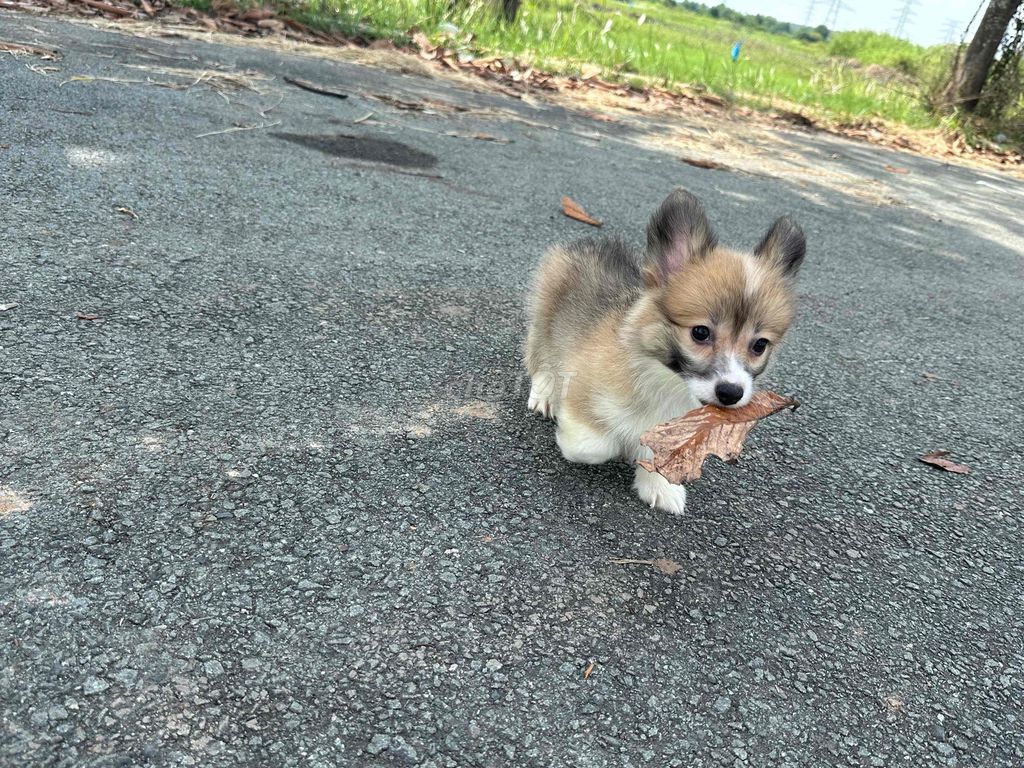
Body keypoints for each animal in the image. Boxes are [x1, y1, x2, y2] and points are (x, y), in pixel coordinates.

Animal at [528, 189, 806, 518]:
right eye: (700, 332)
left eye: (759, 345)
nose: (731, 393)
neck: (665, 380)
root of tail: (589, 243)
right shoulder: (583, 390)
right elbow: (594, 446)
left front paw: (659, 487)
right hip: (544, 318)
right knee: (540, 358)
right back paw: (544, 394)